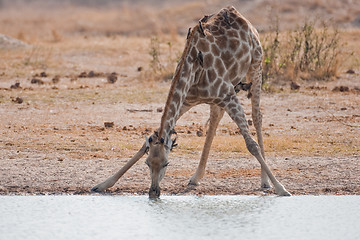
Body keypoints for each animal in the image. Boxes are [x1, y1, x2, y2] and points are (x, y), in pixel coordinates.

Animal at [91, 5, 292, 198]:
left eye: (166, 164)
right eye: (148, 163)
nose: (154, 192)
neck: (194, 72)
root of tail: (240, 15)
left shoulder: (228, 95)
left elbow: (251, 145)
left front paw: (281, 189)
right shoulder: (187, 101)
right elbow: (146, 143)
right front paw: (102, 184)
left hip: (256, 66)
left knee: (257, 116)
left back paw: (265, 181)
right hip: (223, 94)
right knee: (215, 118)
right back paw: (196, 178)